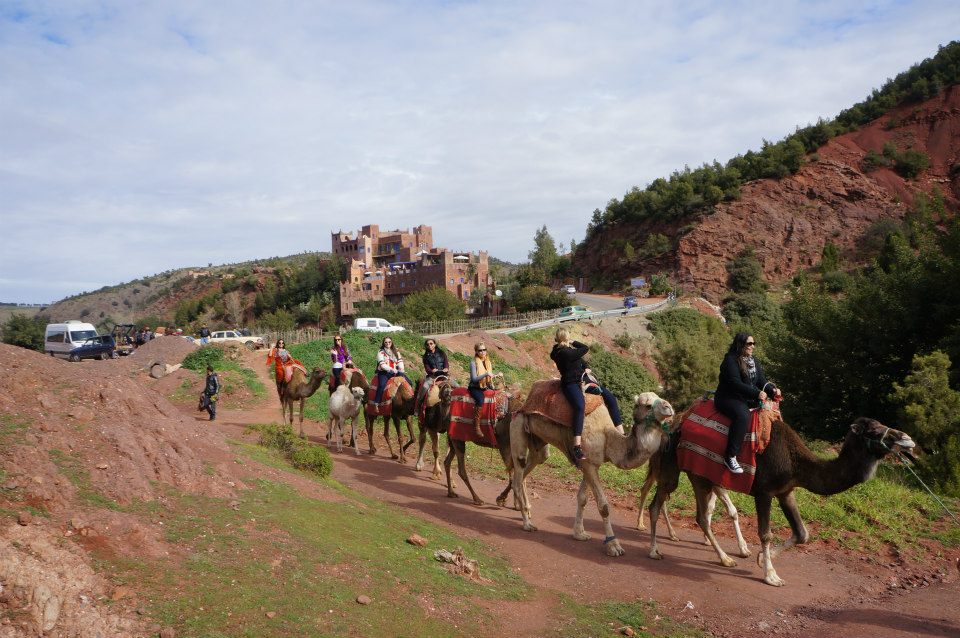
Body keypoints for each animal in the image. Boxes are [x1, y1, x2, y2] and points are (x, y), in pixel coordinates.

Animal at [510, 388, 676, 556]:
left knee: (529, 467)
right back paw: (527, 523)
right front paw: (613, 546)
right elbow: (603, 506)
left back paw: (521, 508)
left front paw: (579, 534)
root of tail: (521, 406)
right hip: (517, 425)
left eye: (660, 398)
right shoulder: (588, 463)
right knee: (518, 471)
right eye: (647, 405)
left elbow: (582, 498)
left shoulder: (591, 463)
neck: (607, 436)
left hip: (538, 443)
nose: (669, 408)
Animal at [648, 418, 920, 588]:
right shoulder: (764, 491)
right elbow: (766, 533)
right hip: (674, 468)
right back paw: (656, 551)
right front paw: (771, 575)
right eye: (874, 431)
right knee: (660, 503)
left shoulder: (786, 491)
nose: (907, 439)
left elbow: (802, 533)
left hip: (701, 476)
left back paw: (725, 557)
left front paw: (760, 559)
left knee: (701, 516)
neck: (796, 461)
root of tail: (675, 424)